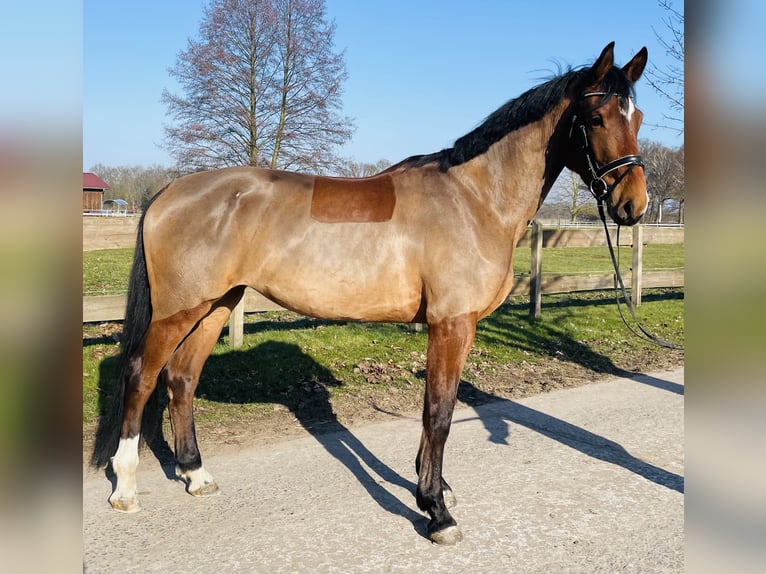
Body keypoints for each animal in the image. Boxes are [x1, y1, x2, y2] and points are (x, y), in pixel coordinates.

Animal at [93, 42, 652, 548]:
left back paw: (195, 474)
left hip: (217, 305)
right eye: (597, 118)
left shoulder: (460, 327)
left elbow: (439, 410)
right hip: (178, 310)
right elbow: (439, 413)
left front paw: (432, 487)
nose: (634, 205)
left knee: (182, 379)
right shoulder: (451, 324)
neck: (474, 200)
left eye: (639, 117)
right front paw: (437, 512)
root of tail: (168, 193)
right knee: (142, 376)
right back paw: (126, 487)